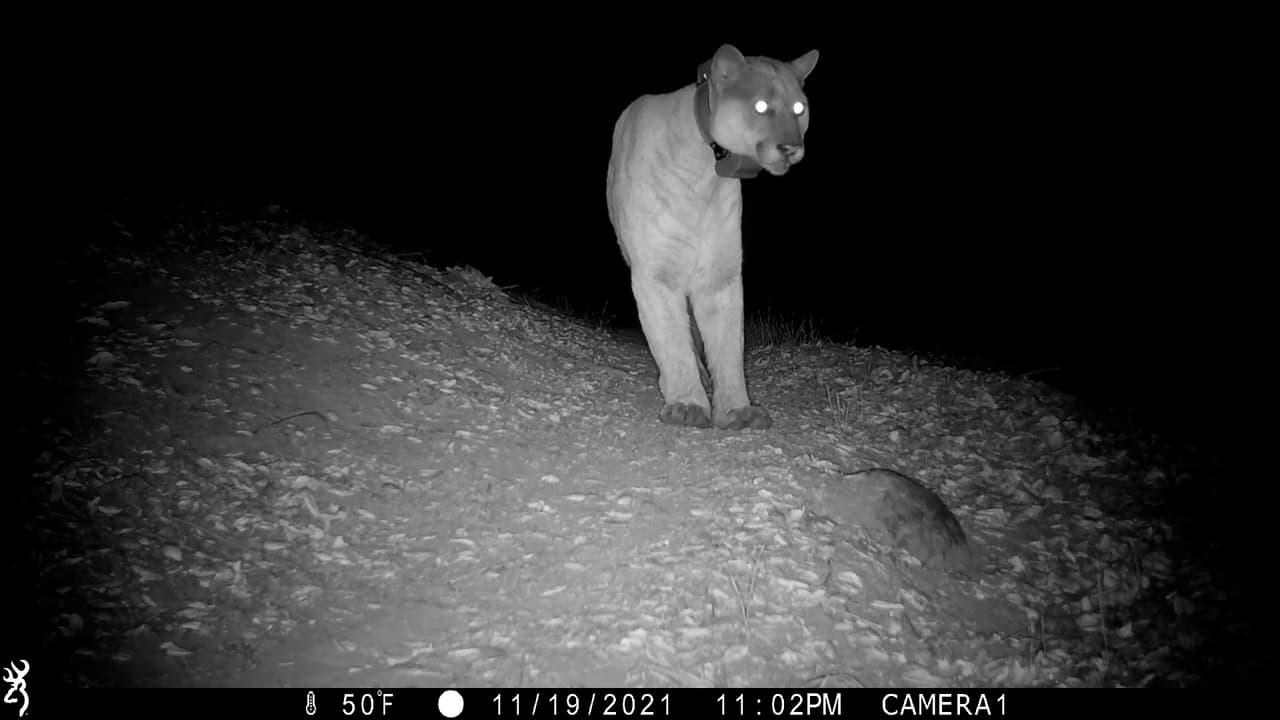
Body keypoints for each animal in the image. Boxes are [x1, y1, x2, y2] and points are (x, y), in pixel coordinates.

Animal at [606, 44, 819, 430]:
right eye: (761, 106)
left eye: (799, 108)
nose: (792, 147)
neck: (706, 171)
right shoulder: (656, 272)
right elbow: (672, 340)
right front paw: (687, 402)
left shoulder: (720, 273)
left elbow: (728, 345)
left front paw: (736, 409)